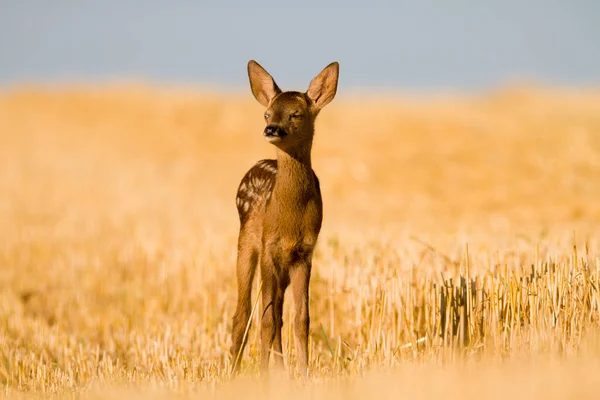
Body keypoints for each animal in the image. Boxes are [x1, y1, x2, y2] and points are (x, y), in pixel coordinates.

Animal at [230, 59, 340, 376]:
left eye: (296, 114)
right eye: (267, 113)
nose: (271, 128)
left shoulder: (304, 253)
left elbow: (301, 319)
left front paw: (302, 373)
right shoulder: (270, 248)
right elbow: (265, 319)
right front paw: (264, 376)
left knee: (277, 310)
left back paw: (280, 369)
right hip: (246, 243)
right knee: (243, 313)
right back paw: (232, 371)